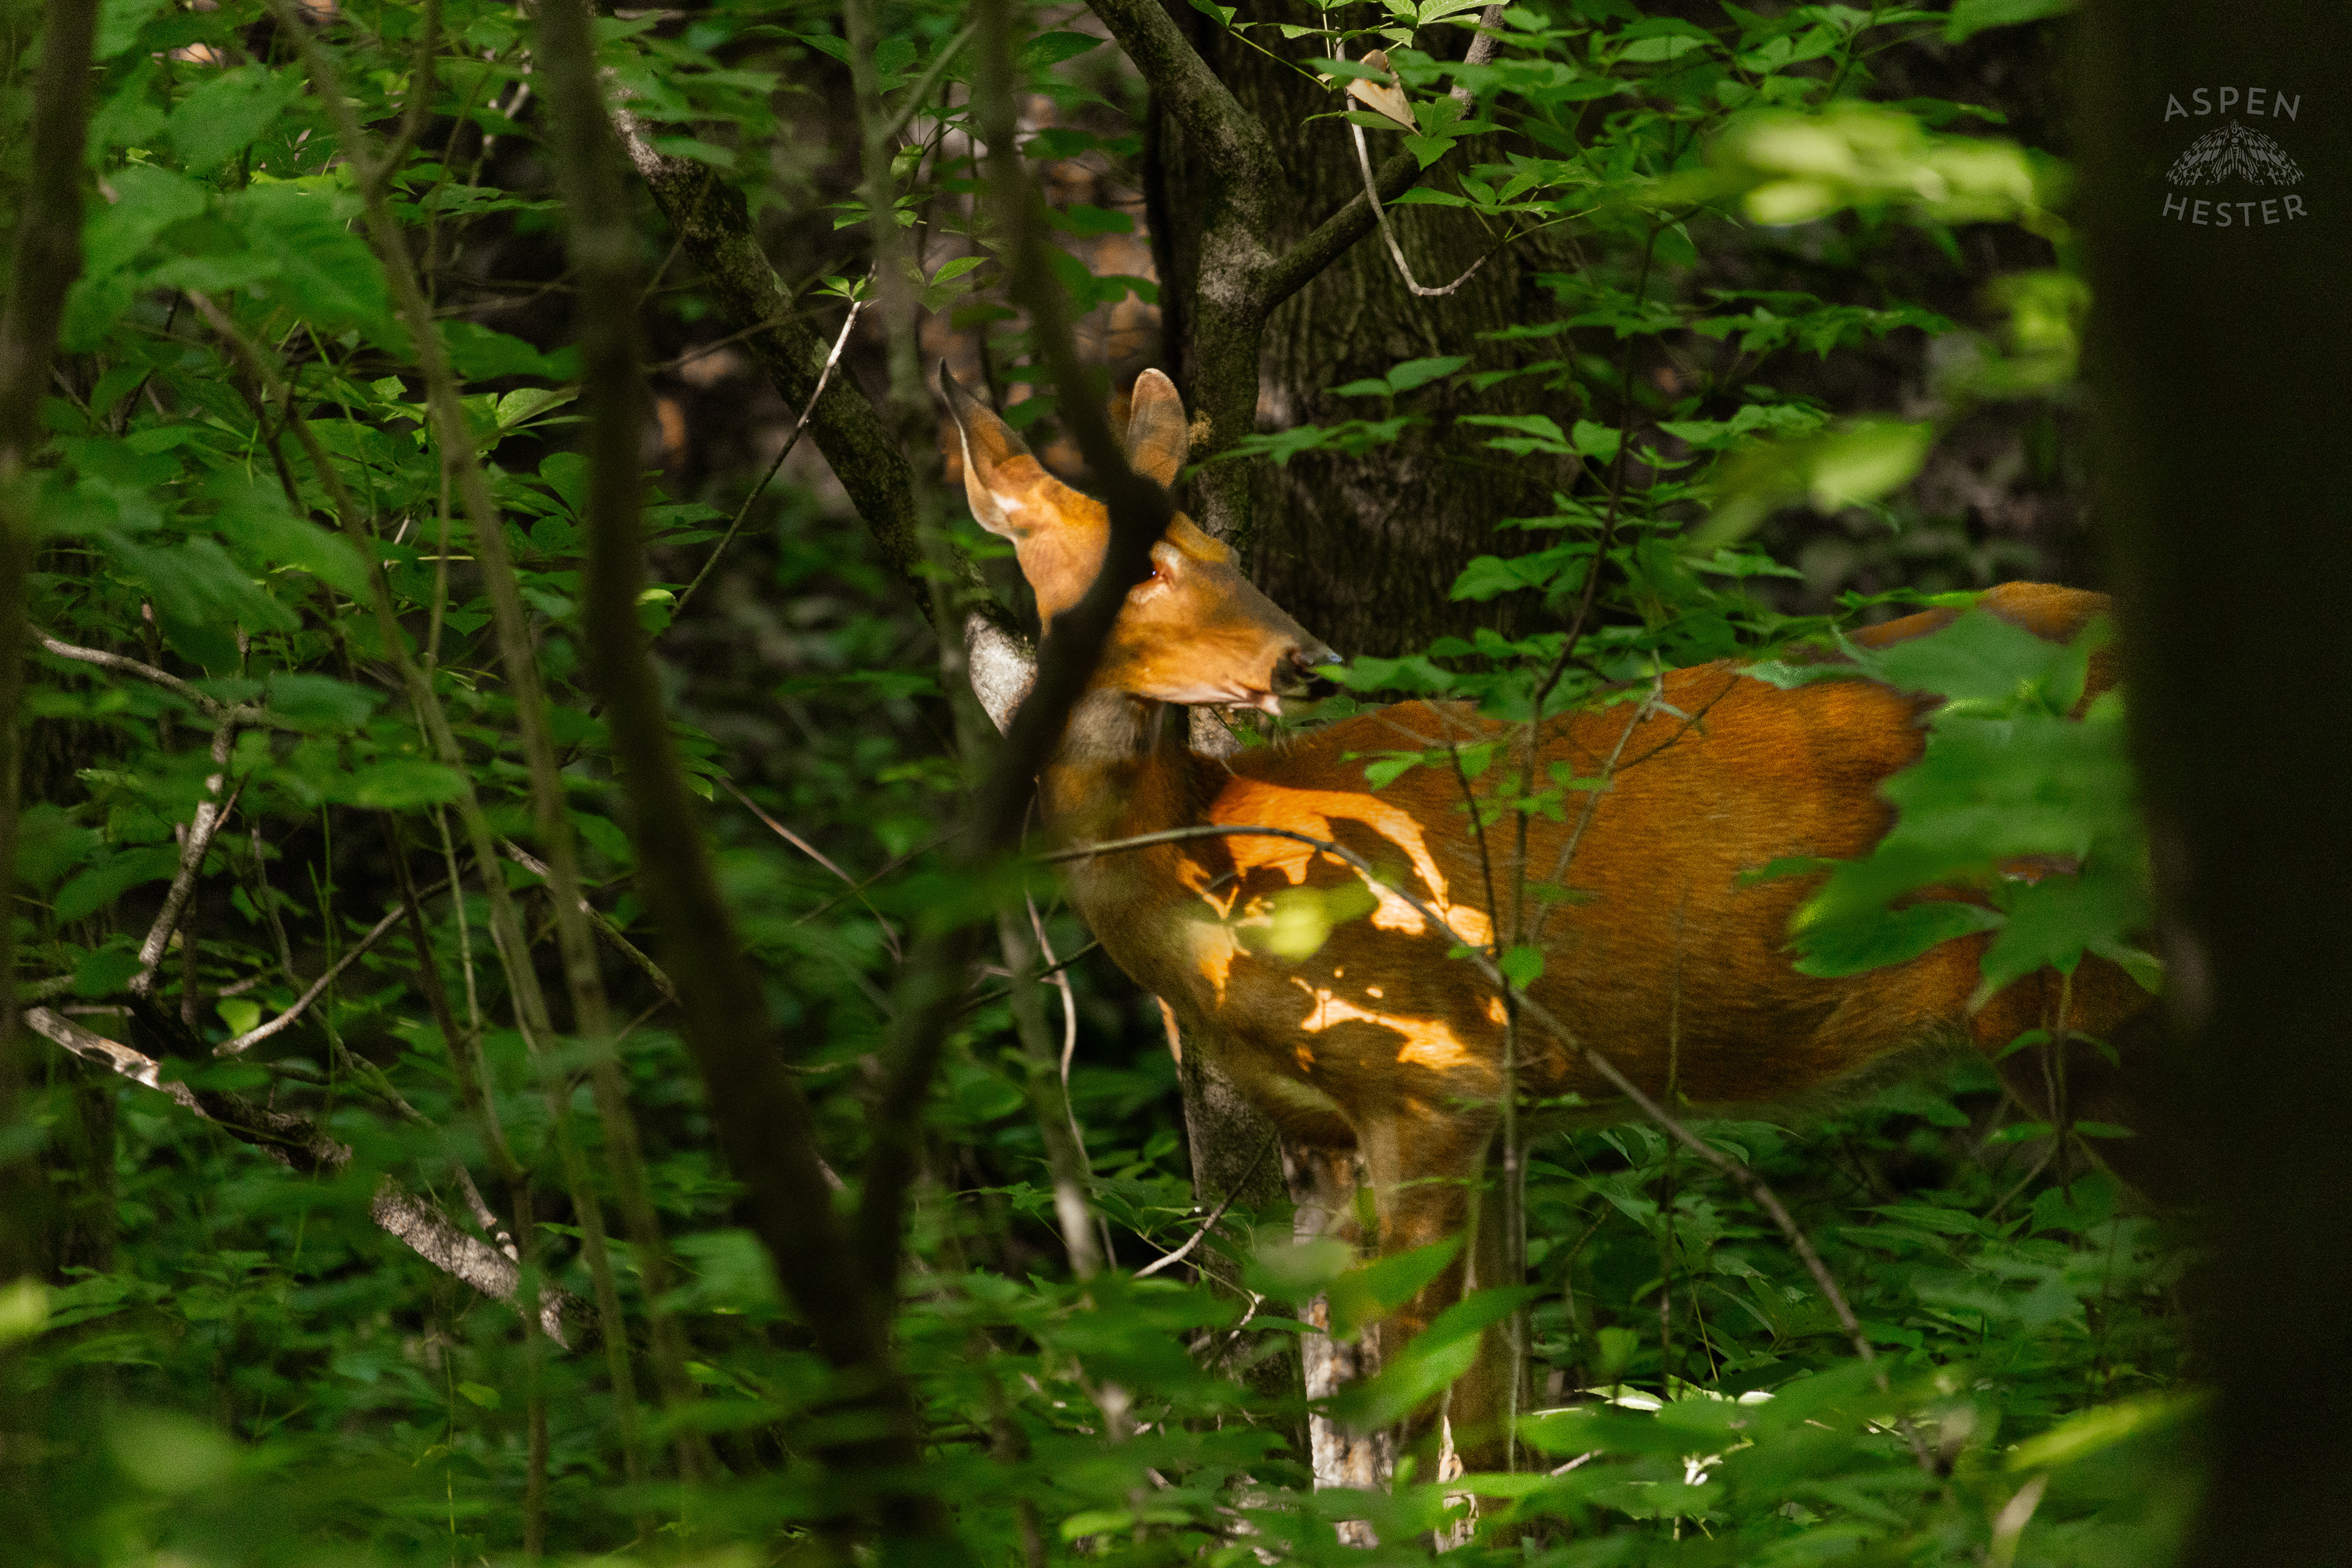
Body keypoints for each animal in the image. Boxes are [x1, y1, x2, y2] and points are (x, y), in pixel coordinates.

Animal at [938, 365, 2157, 1479]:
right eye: (1145, 565)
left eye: (1225, 555)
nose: (1307, 659)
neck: (1214, 880)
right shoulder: (1376, 1127)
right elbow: (1461, 1416)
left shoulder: (1437, 1074)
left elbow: (1416, 1409)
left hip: (2092, 997)